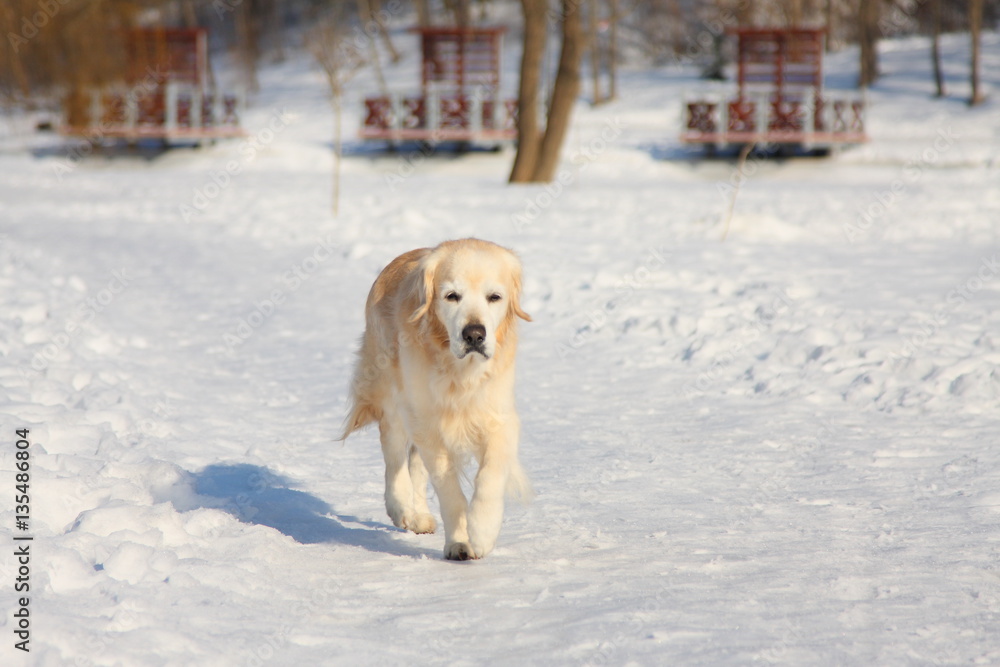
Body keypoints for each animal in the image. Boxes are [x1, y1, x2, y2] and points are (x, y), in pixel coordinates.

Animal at [340, 237, 532, 560]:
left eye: (494, 297)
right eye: (451, 296)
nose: (474, 334)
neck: (459, 373)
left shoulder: (498, 417)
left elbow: (490, 475)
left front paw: (482, 530)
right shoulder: (425, 417)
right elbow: (449, 490)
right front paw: (459, 541)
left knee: (414, 461)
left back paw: (419, 514)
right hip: (395, 396)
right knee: (394, 454)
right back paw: (402, 508)